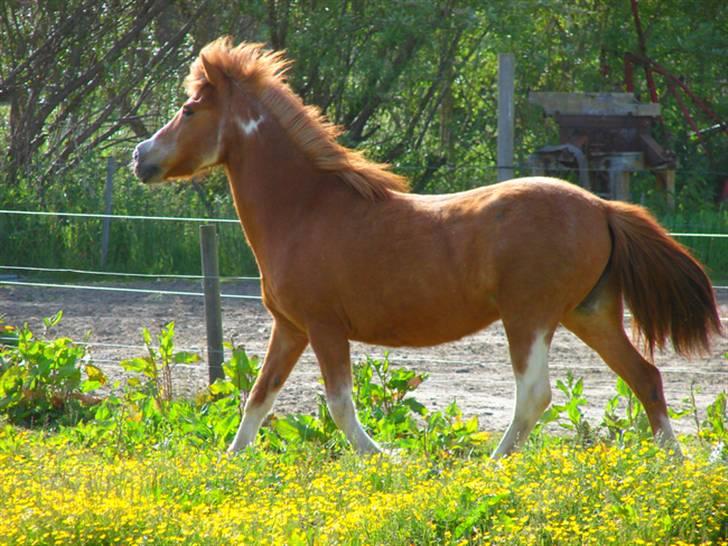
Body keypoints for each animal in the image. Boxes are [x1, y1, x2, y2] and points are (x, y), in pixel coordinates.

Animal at [132, 36, 724, 456]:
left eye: (189, 109)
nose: (140, 157)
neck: (305, 210)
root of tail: (600, 207)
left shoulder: (324, 328)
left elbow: (339, 407)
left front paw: (384, 458)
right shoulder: (291, 328)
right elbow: (258, 400)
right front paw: (228, 465)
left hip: (529, 316)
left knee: (535, 395)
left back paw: (493, 466)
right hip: (590, 313)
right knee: (645, 378)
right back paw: (673, 467)